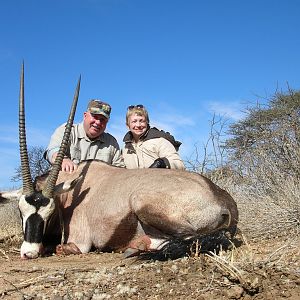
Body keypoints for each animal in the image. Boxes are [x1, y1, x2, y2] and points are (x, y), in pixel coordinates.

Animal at [1, 64, 238, 258]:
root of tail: (221, 197)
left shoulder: (79, 243)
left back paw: (138, 247)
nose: (29, 252)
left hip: (140, 200)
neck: (70, 194)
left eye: (49, 213)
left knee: (185, 238)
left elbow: (60, 247)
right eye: (21, 211)